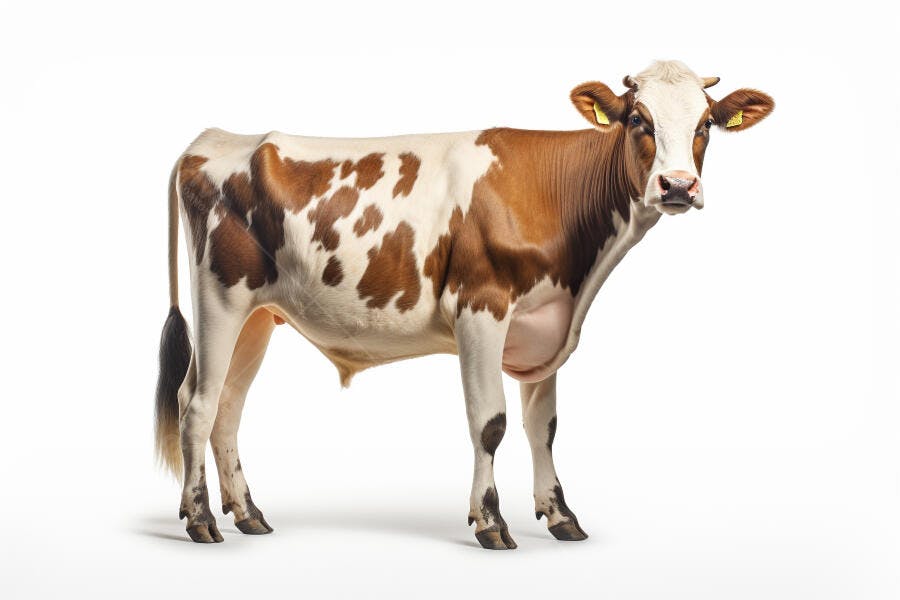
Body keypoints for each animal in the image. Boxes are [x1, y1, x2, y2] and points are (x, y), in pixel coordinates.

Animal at [155, 60, 774, 548]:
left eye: (705, 125)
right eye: (639, 120)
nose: (677, 186)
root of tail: (214, 140)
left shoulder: (544, 321)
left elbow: (543, 426)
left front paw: (560, 516)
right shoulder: (481, 309)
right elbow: (490, 423)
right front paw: (490, 522)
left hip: (259, 315)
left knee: (229, 407)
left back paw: (249, 514)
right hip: (220, 296)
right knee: (197, 403)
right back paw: (202, 519)